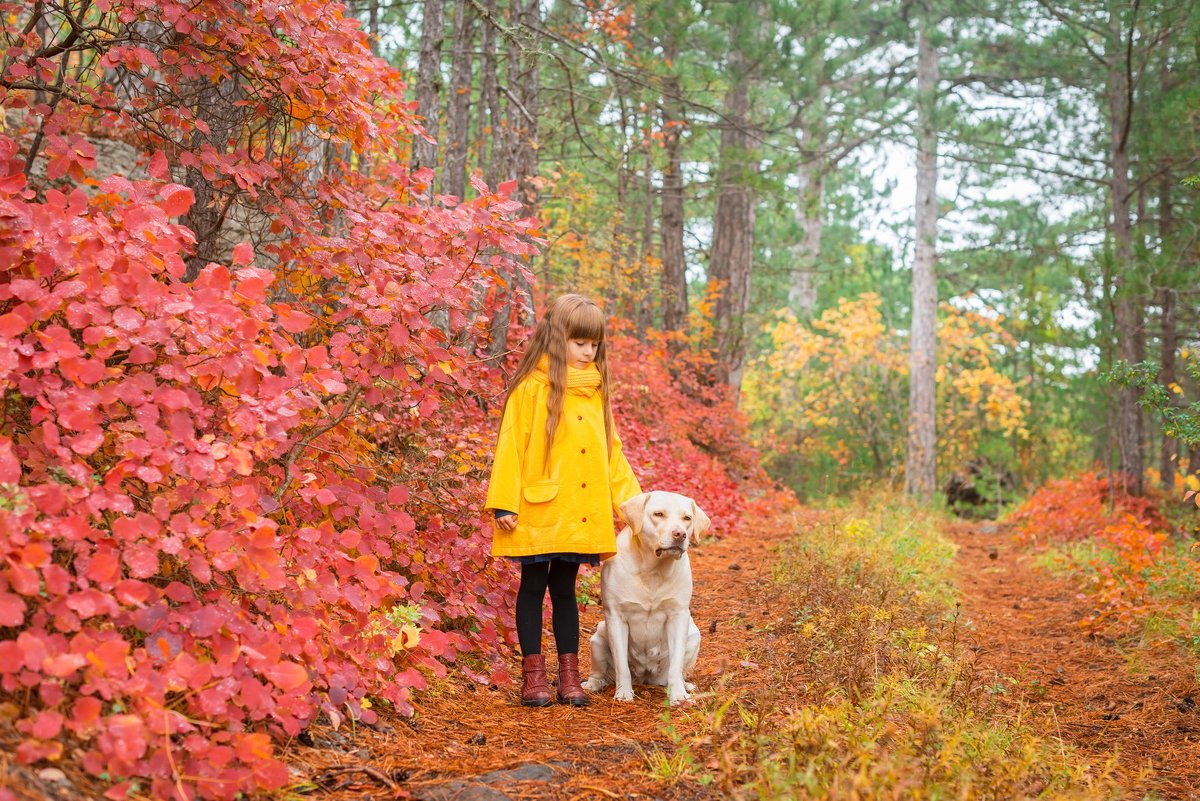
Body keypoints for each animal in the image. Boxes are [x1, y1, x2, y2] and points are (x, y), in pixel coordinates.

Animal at [583, 491, 705, 705]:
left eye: (687, 518)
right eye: (658, 514)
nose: (680, 534)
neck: (653, 570)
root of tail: (645, 677)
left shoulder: (678, 616)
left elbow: (676, 664)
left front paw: (679, 695)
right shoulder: (616, 617)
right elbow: (621, 664)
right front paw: (624, 693)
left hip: (694, 635)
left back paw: (685, 685)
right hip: (598, 637)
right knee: (599, 673)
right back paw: (592, 685)